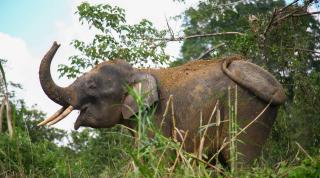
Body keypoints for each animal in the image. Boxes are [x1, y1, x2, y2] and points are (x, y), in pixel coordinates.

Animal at [37, 41, 284, 167]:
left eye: (91, 86)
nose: (57, 42)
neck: (139, 71)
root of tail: (277, 87)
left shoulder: (156, 117)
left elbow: (158, 156)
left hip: (247, 108)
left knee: (238, 157)